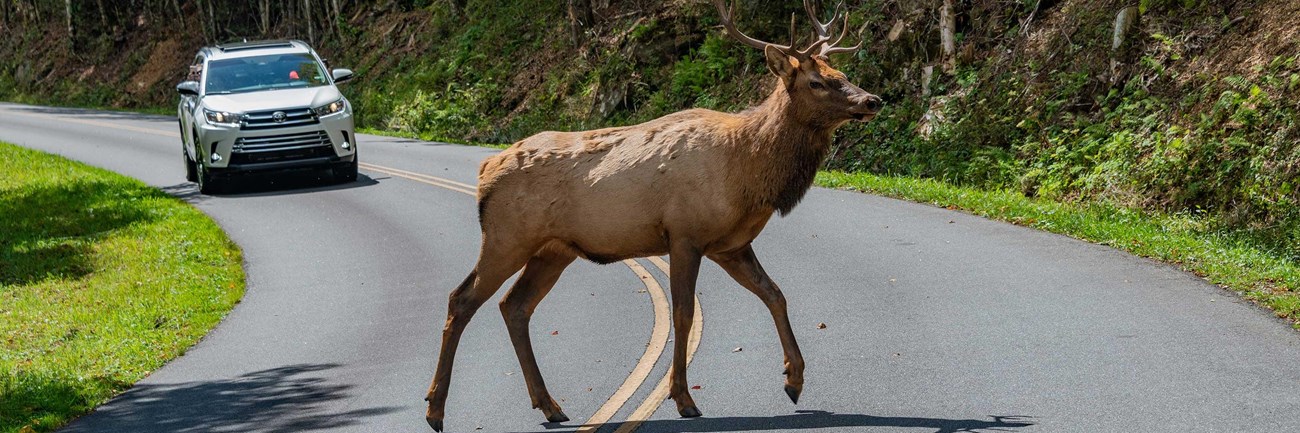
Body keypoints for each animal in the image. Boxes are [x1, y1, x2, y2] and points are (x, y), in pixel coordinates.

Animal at [426, 0, 883, 429]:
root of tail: (486, 167)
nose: (873, 100)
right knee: (461, 298)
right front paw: (683, 399)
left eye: (842, 72)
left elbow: (776, 294)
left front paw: (794, 380)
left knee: (514, 305)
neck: (748, 173)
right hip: (507, 236)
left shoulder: (731, 245)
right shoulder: (684, 234)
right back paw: (435, 409)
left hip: (553, 250)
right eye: (817, 82)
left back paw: (550, 405)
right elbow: (684, 314)